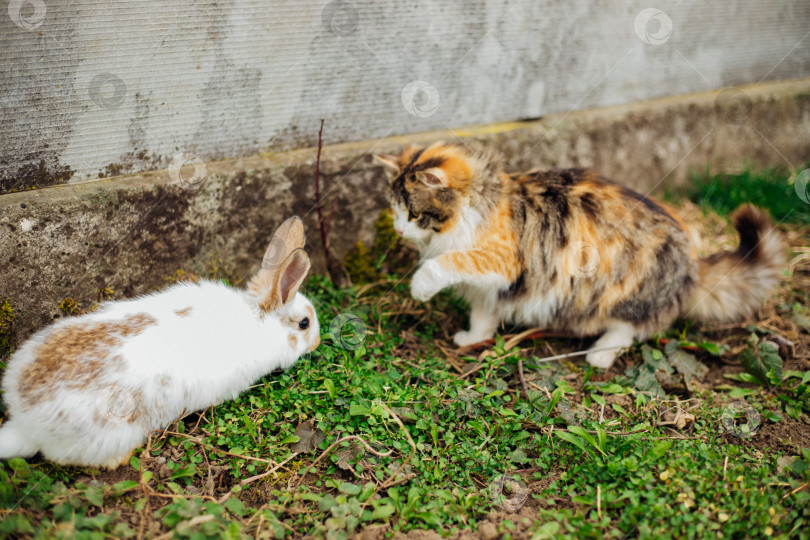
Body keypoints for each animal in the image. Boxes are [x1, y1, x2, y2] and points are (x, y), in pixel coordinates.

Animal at [376, 141, 784, 370]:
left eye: (413, 213)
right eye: (394, 210)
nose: (398, 230)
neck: (483, 200)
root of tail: (693, 265)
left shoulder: (503, 260)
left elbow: (447, 262)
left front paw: (420, 286)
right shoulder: (492, 287)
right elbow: (483, 313)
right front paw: (473, 338)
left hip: (624, 292)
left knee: (629, 331)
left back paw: (599, 355)